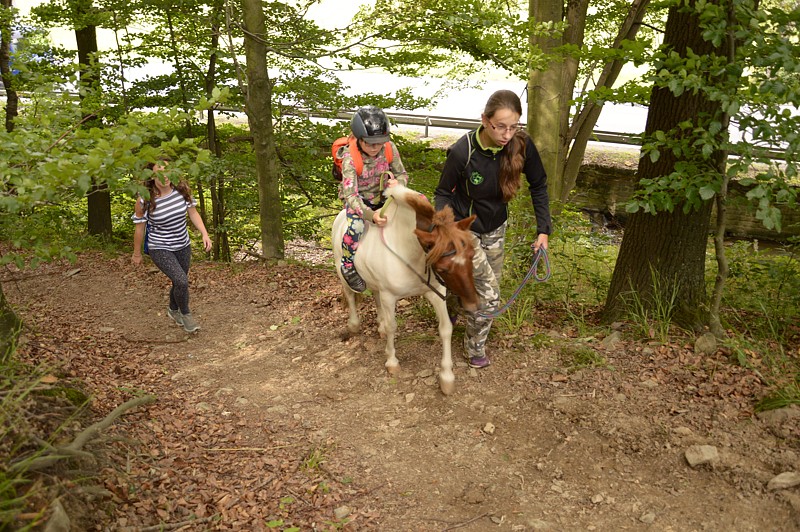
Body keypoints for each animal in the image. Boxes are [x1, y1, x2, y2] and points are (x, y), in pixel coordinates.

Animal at [330, 184, 476, 394]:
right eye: (442, 268)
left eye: (472, 255)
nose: (472, 305)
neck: (408, 251)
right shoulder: (390, 296)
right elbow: (393, 326)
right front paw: (392, 361)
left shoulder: (435, 292)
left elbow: (446, 328)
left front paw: (447, 376)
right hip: (341, 270)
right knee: (350, 294)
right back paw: (354, 325)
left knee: (375, 296)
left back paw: (380, 325)